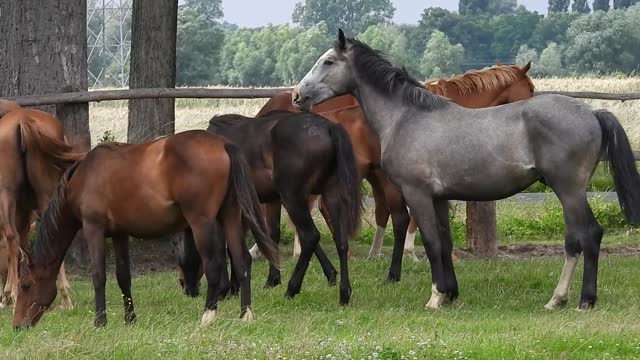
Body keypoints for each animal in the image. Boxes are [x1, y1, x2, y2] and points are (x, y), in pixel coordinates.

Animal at [11, 130, 278, 330]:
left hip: (202, 223)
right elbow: (123, 277)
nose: (17, 325)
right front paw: (130, 319)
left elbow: (99, 276)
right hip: (230, 217)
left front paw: (100, 321)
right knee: (242, 262)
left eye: (25, 285)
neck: (84, 177)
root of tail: (223, 143)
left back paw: (207, 316)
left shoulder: (93, 229)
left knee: (214, 265)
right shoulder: (119, 234)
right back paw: (245, 315)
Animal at [178, 111, 362, 306]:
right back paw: (344, 293)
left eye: (181, 259)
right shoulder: (265, 203)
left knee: (310, 237)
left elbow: (227, 247)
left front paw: (226, 289)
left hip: (292, 197)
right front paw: (265, 280)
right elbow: (269, 235)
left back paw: (292, 288)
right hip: (330, 194)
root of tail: (328, 127)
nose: (185, 287)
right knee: (340, 240)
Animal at [292, 29, 640, 310]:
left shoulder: (418, 195)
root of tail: (592, 113)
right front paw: (450, 294)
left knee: (588, 236)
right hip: (567, 192)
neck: (407, 117)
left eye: (328, 62)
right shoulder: (439, 198)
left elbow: (431, 242)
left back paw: (581, 300)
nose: (298, 95)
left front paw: (435, 297)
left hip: (569, 190)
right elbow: (444, 243)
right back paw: (559, 300)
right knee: (574, 240)